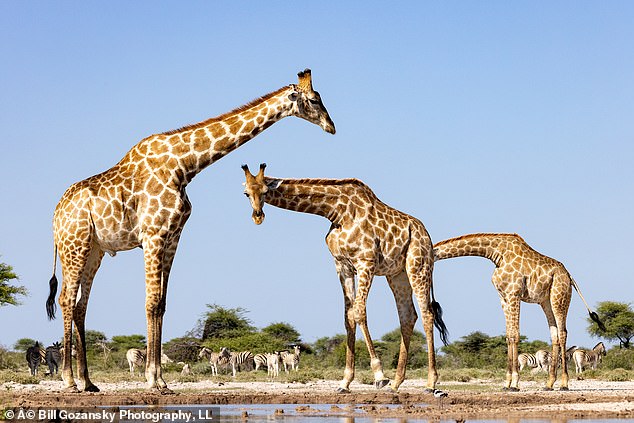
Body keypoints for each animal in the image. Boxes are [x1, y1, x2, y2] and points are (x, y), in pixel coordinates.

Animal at [45, 69, 336, 394]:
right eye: (314, 100)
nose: (331, 126)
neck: (184, 166)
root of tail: (56, 215)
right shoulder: (153, 235)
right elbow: (150, 303)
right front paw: (152, 380)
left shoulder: (173, 237)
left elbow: (161, 304)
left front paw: (161, 379)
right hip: (75, 244)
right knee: (66, 300)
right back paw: (70, 380)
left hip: (94, 250)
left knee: (81, 305)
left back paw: (88, 382)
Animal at [239, 164, 446, 392]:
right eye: (246, 193)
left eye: (265, 191)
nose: (257, 216)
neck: (336, 212)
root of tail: (427, 236)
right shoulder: (342, 266)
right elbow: (348, 317)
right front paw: (345, 382)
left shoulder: (365, 262)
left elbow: (359, 312)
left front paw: (379, 375)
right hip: (397, 274)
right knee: (408, 316)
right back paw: (396, 383)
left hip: (418, 266)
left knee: (427, 314)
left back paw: (430, 382)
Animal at [430, 234, 604, 392]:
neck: (495, 253)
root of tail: (569, 276)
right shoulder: (503, 297)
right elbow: (508, 336)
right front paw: (506, 384)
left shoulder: (514, 294)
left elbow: (515, 335)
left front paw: (514, 384)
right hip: (545, 301)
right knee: (554, 334)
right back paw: (549, 384)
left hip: (559, 297)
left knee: (562, 333)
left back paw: (564, 384)